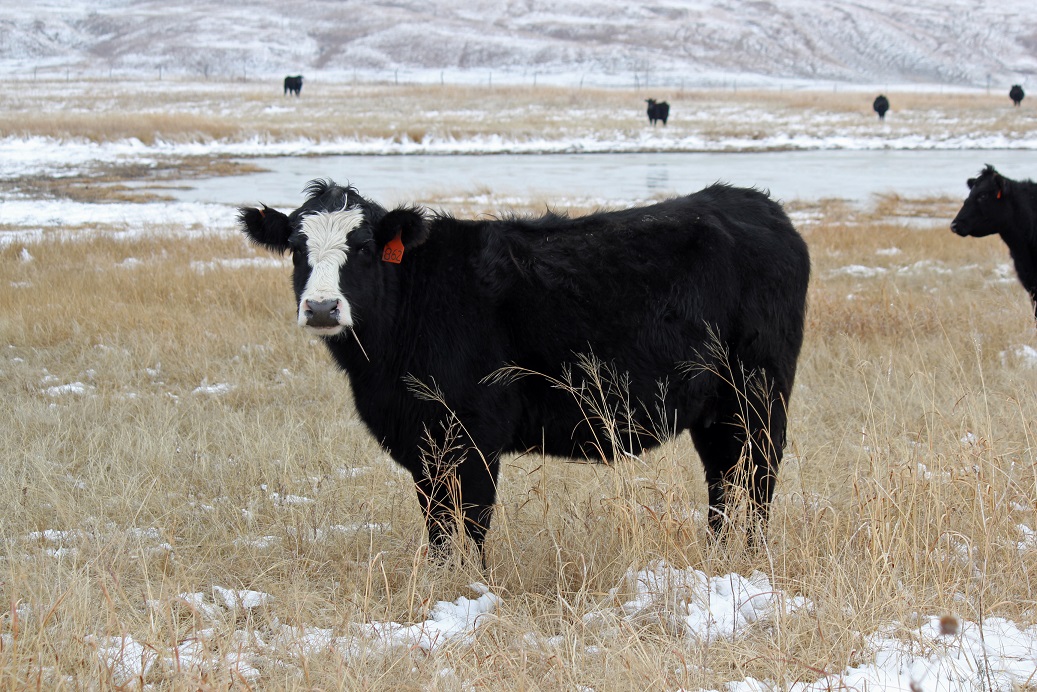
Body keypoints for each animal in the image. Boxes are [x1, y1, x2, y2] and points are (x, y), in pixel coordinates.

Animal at [238, 180, 811, 565]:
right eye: (296, 248)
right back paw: (718, 555)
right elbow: (437, 519)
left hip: (758, 395)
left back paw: (752, 556)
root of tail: (752, 202)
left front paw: (472, 584)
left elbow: (471, 517)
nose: (321, 308)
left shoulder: (473, 431)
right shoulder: (423, 439)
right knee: (724, 478)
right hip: (714, 409)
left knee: (759, 474)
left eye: (361, 248)